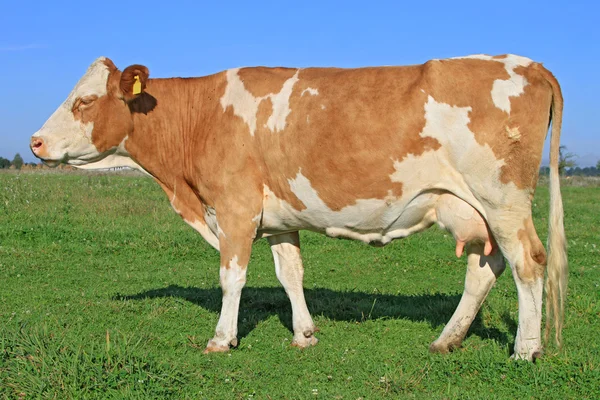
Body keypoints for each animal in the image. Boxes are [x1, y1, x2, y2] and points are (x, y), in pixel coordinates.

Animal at [30, 54, 568, 360]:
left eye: (84, 101)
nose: (35, 142)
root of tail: (527, 63)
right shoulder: (276, 219)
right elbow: (290, 273)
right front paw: (305, 334)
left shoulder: (235, 209)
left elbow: (231, 278)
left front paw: (221, 339)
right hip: (476, 209)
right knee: (485, 268)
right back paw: (446, 340)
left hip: (503, 200)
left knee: (528, 263)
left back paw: (526, 349)